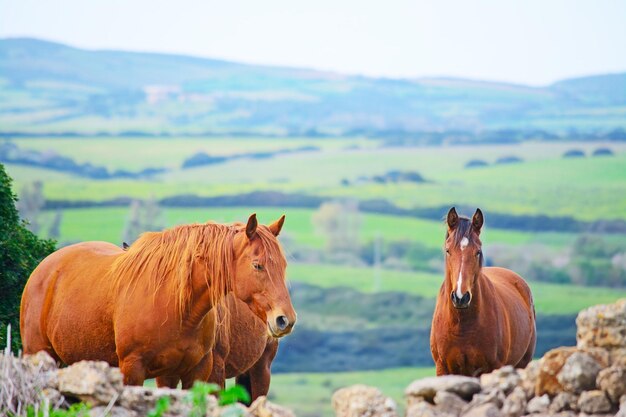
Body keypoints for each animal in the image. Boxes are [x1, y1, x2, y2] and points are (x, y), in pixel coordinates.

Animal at [18, 213, 292, 388]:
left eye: (283, 266)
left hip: (259, 369)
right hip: (40, 356)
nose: (285, 319)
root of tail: (44, 269)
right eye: (257, 265)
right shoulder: (133, 370)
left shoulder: (195, 372)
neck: (176, 306)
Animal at [428, 206, 536, 376]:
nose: (460, 297)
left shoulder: (493, 367)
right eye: (447, 250)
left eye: (477, 251)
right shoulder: (443, 368)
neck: (462, 324)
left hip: (523, 364)